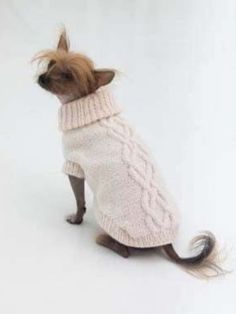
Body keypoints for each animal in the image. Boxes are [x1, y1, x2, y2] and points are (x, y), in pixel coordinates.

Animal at [34, 28, 225, 276]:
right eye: (50, 64)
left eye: (67, 76)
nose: (42, 78)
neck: (88, 109)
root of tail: (166, 242)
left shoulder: (74, 167)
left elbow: (79, 201)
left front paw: (76, 219)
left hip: (110, 217)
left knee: (124, 251)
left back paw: (103, 239)